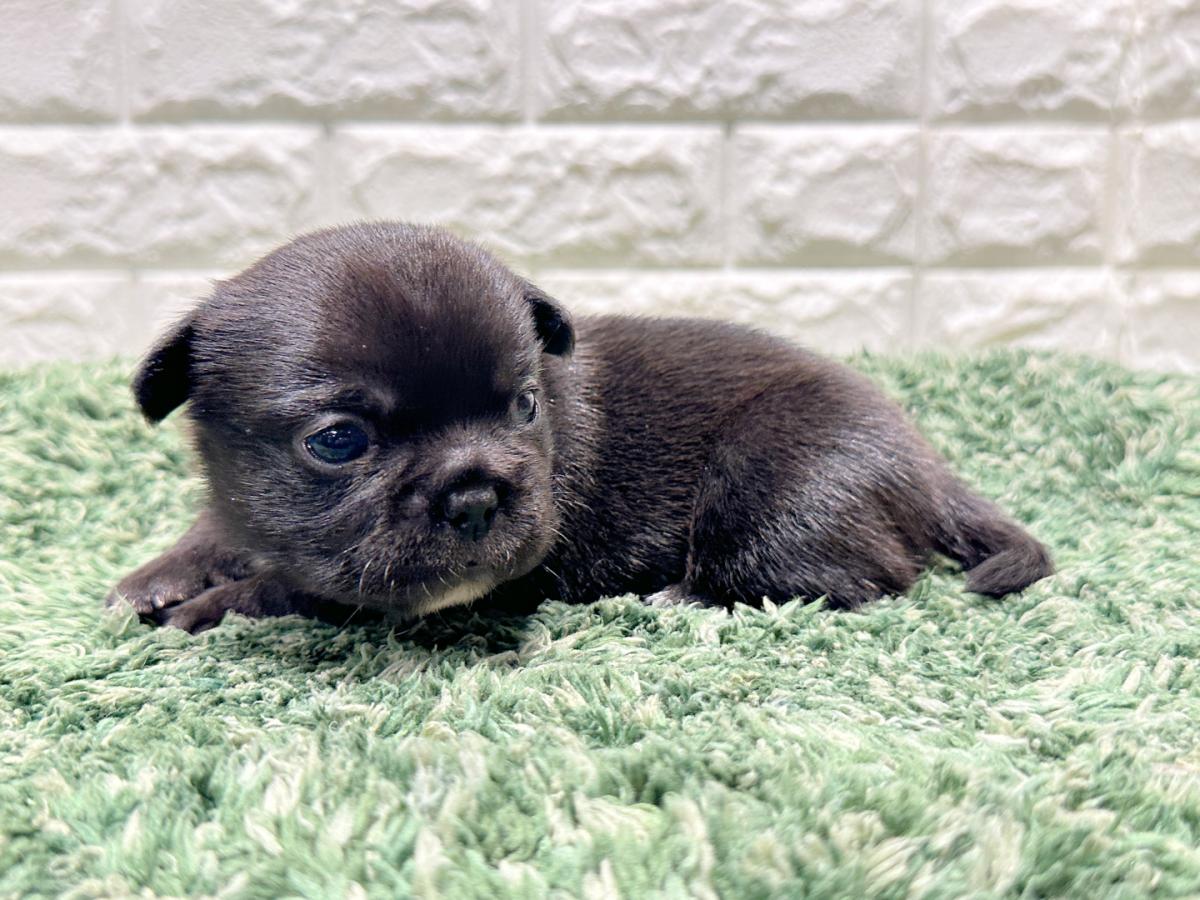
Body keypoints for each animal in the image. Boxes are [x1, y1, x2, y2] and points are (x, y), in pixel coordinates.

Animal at [107, 222, 1053, 632]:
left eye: (526, 406)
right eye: (338, 441)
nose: (476, 494)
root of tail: (925, 465)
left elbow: (292, 587)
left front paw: (210, 608)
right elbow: (219, 530)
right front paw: (164, 574)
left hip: (777, 478)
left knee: (857, 577)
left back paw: (688, 598)